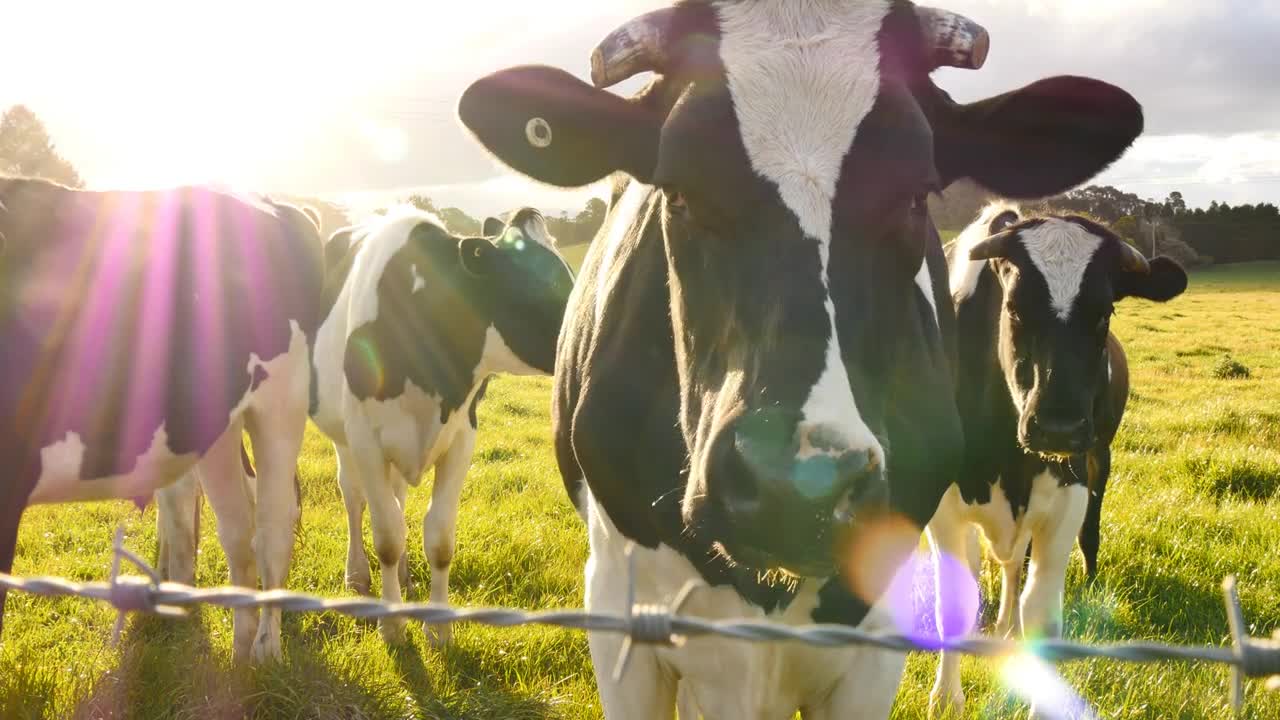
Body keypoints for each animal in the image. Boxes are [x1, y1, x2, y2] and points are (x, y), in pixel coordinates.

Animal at [0, 174, 325, 661]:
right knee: (236, 527)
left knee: (271, 525)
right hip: (215, 427)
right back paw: (238, 652)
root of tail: (280, 204)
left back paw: (266, 650)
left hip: (280, 402)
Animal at [307, 204, 573, 640]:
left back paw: (405, 577)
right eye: (546, 285)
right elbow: (387, 536)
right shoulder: (365, 438)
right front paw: (392, 626)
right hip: (343, 436)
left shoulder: (463, 436)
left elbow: (440, 537)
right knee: (353, 496)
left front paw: (438, 629)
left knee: (397, 496)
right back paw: (358, 574)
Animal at [931, 202, 1187, 712]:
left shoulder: (1067, 497)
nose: (1059, 427)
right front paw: (947, 698)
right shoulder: (943, 507)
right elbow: (955, 602)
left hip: (1099, 459)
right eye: (1013, 307)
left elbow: (1042, 616)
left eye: (1105, 312)